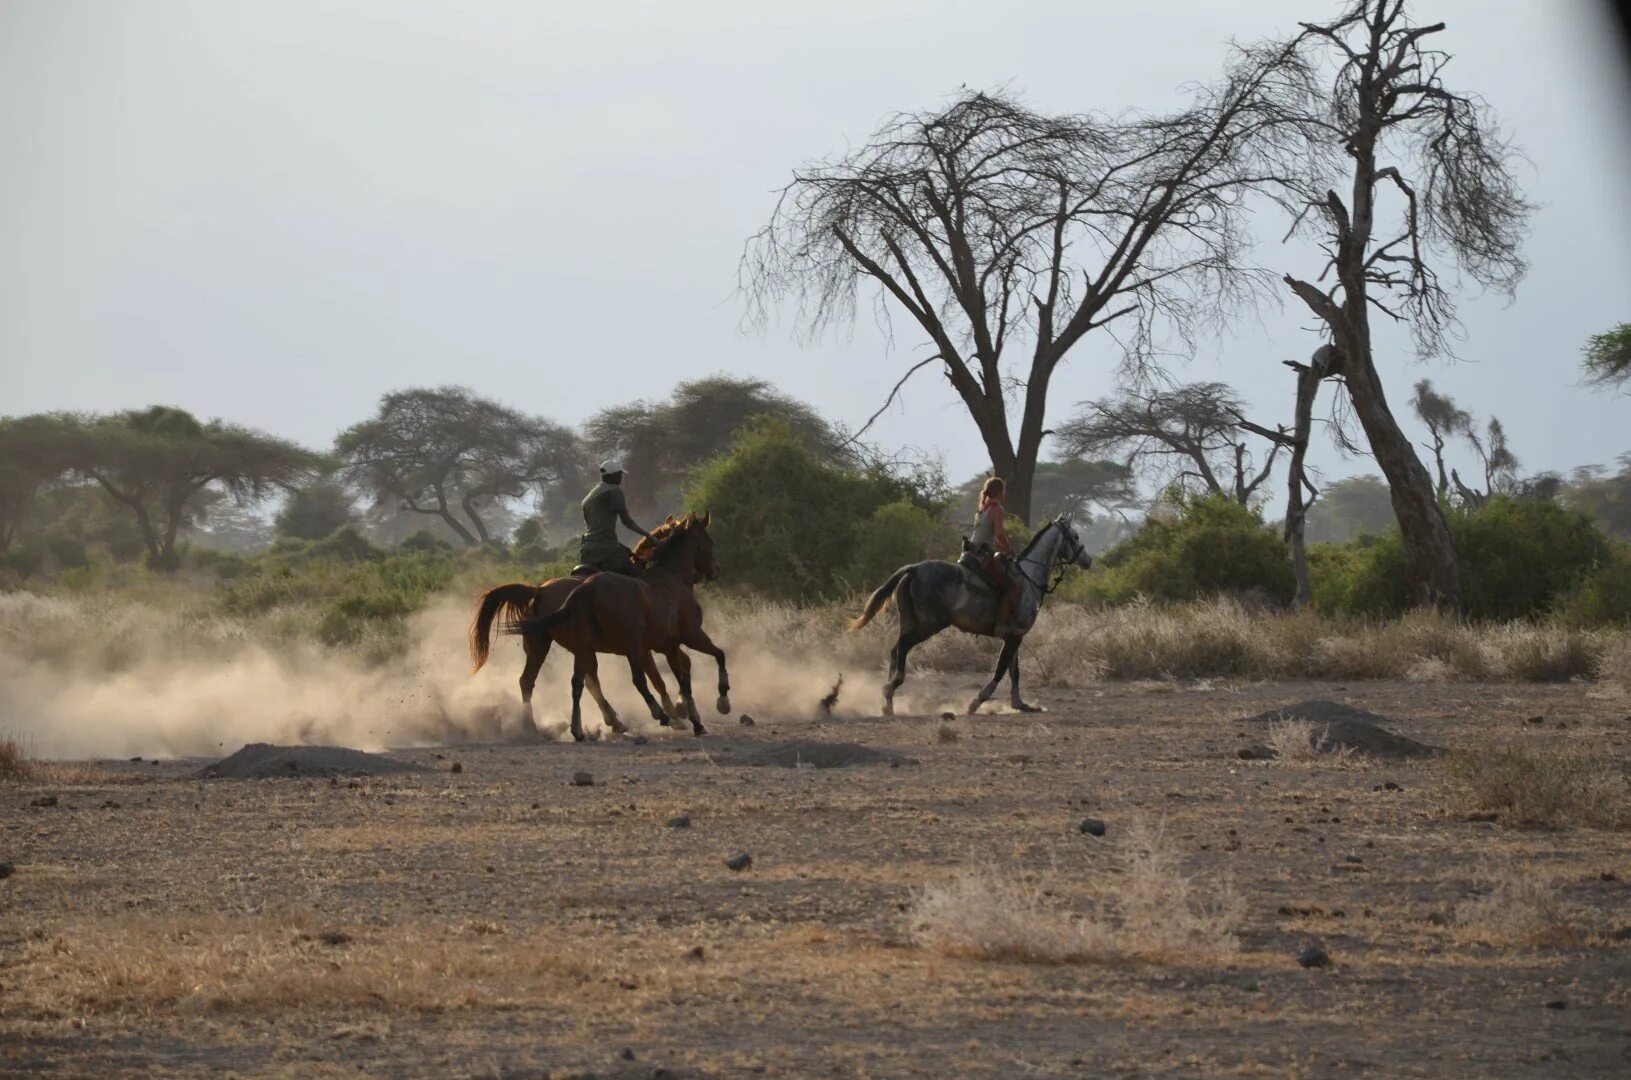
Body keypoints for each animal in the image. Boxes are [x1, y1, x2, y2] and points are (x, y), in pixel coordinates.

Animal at [505, 515, 730, 743]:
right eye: (709, 541)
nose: (716, 569)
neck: (670, 577)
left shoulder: (662, 647)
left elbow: (679, 673)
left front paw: (682, 711)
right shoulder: (684, 638)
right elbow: (705, 662)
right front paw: (707, 708)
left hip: (559, 647)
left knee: (556, 682)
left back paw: (557, 727)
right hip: (622, 647)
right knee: (629, 680)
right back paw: (651, 715)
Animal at [841, 515, 1096, 717]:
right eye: (1074, 536)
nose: (1088, 560)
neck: (1028, 578)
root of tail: (914, 569)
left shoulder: (1014, 636)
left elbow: (1014, 671)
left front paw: (1020, 704)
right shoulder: (1014, 637)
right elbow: (1001, 669)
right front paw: (976, 701)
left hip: (910, 622)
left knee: (896, 650)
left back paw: (888, 702)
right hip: (929, 625)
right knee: (902, 647)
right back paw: (890, 688)